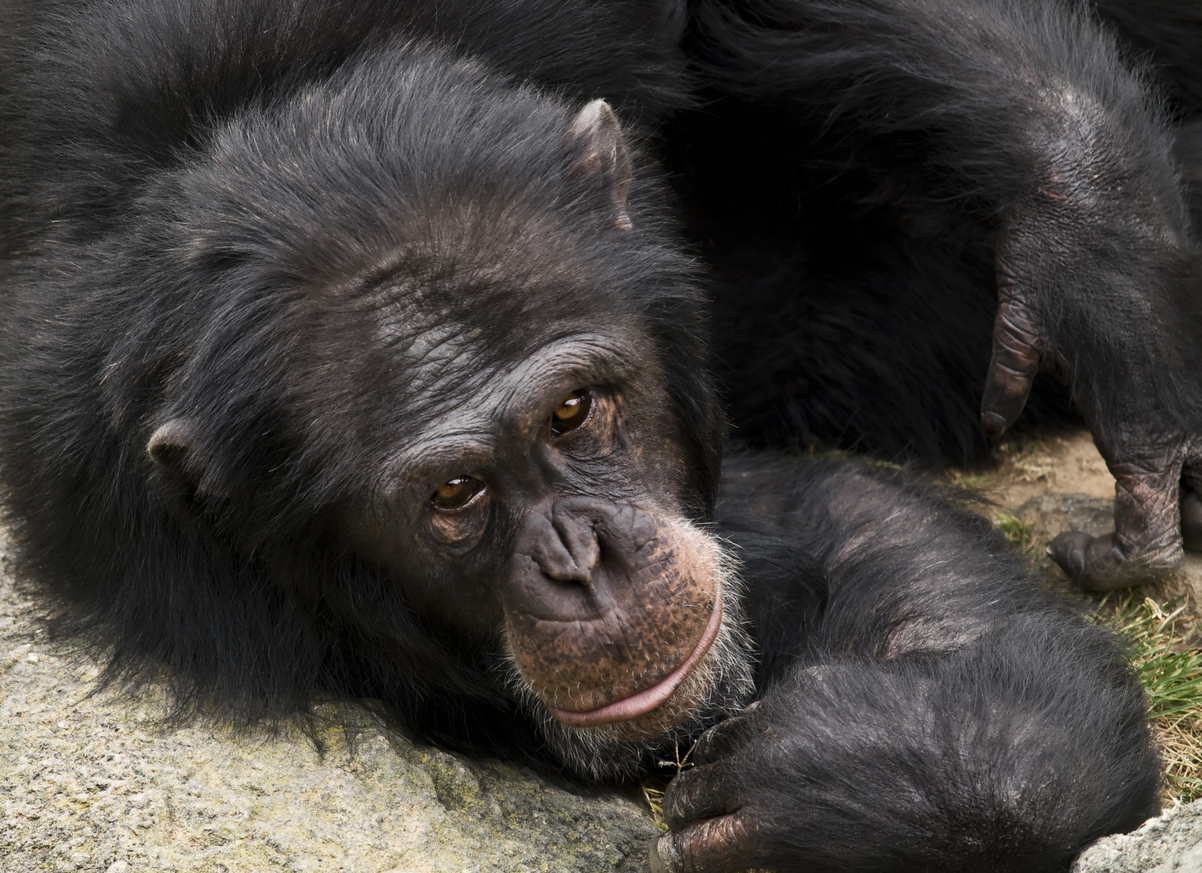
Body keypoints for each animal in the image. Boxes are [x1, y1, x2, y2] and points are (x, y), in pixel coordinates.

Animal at [0, 0, 1197, 870]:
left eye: (570, 410)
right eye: (453, 494)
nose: (582, 563)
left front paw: (1095, 244)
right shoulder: (129, 520)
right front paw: (894, 772)